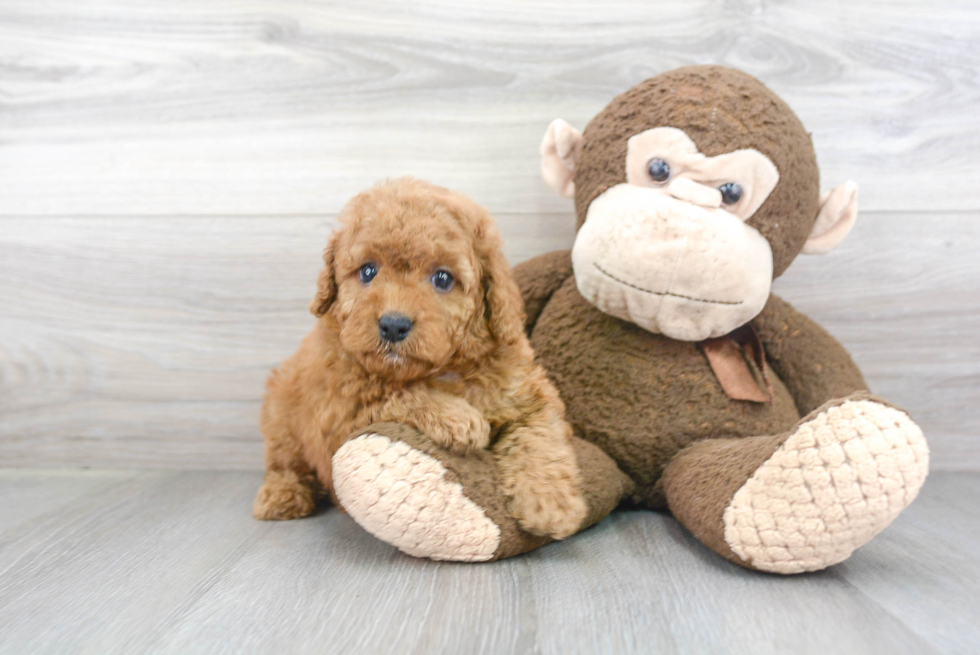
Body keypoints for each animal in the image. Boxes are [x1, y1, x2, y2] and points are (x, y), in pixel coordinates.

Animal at [256, 178, 584, 540]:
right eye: (368, 271)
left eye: (442, 278)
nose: (393, 325)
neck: (444, 369)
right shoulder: (340, 408)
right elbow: (393, 394)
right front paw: (458, 419)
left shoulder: (528, 392)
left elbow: (540, 436)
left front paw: (551, 503)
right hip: (281, 414)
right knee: (284, 461)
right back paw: (282, 494)